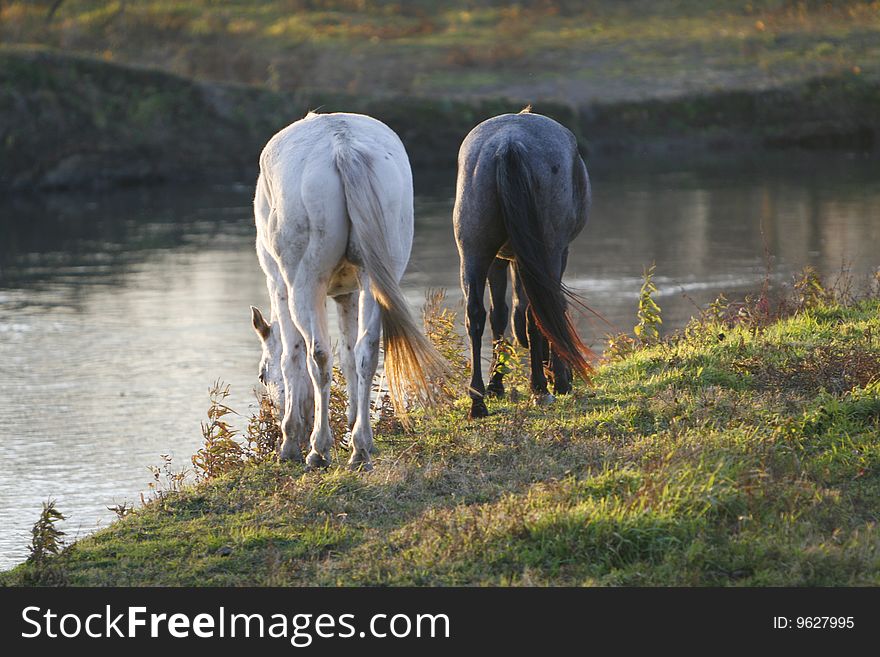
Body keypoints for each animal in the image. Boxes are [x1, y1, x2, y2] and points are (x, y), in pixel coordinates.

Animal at [249, 114, 444, 472]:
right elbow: (351, 357)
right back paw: (360, 448)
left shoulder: (279, 286)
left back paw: (318, 450)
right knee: (367, 351)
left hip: (304, 285)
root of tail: (343, 147)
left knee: (318, 356)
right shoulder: (347, 294)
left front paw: (290, 441)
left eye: (261, 375)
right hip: (373, 280)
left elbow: (292, 357)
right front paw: (356, 428)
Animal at [454, 107, 592, 416]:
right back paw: (540, 387)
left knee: (475, 314)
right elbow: (548, 309)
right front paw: (559, 378)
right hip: (549, 251)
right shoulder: (556, 254)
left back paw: (478, 400)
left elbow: (500, 315)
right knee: (537, 311)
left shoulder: (500, 260)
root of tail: (509, 144)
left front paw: (497, 384)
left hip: (473, 251)